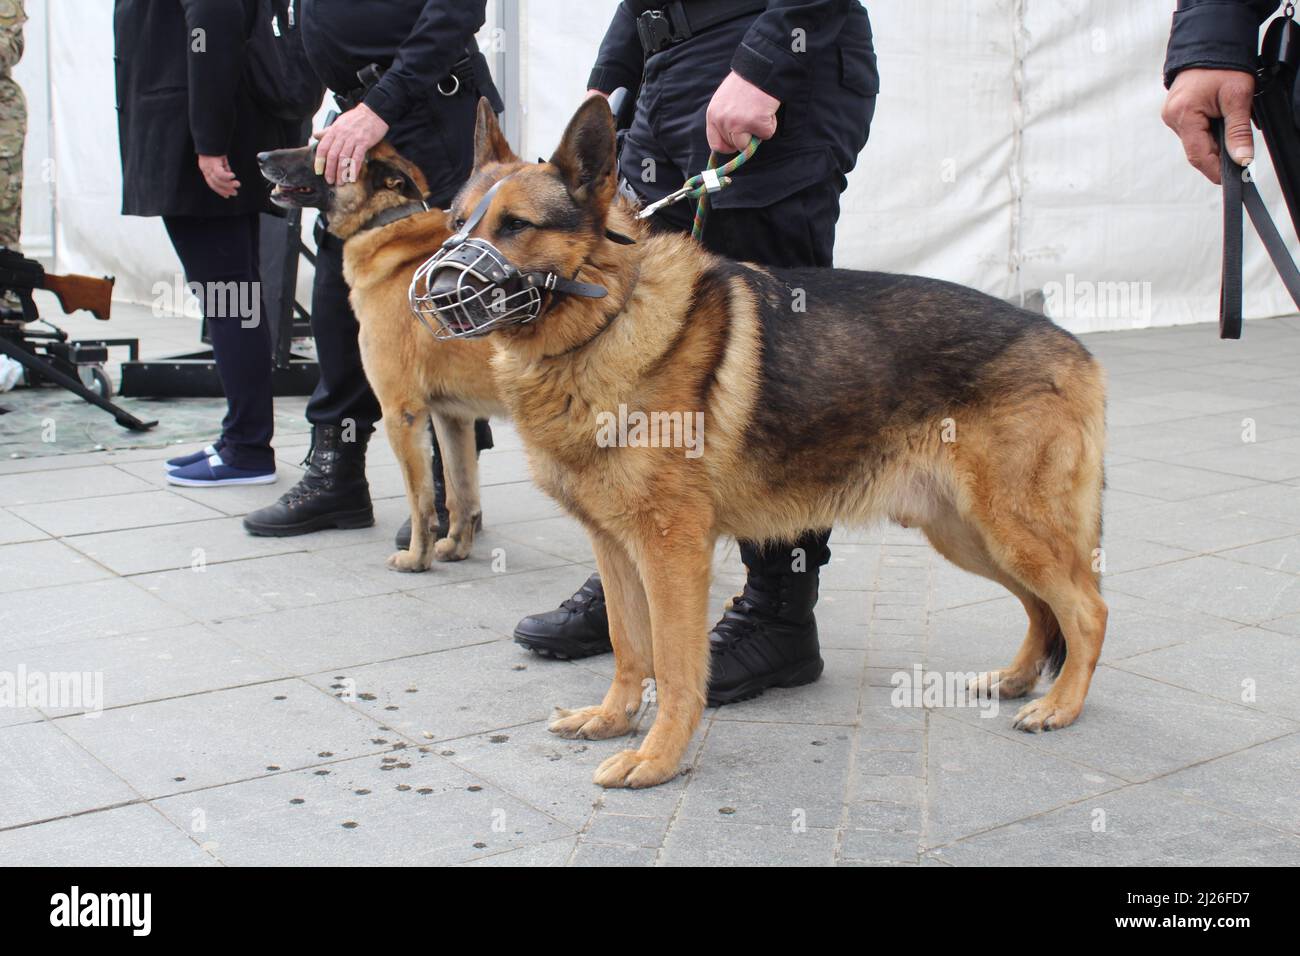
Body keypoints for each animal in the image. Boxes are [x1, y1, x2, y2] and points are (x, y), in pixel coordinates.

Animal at [260, 143, 506, 567]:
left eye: (317, 148)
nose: (260, 157)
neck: (385, 223)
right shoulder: (452, 417)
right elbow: (460, 490)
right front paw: (455, 545)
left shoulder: (400, 413)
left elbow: (420, 500)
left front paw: (417, 558)